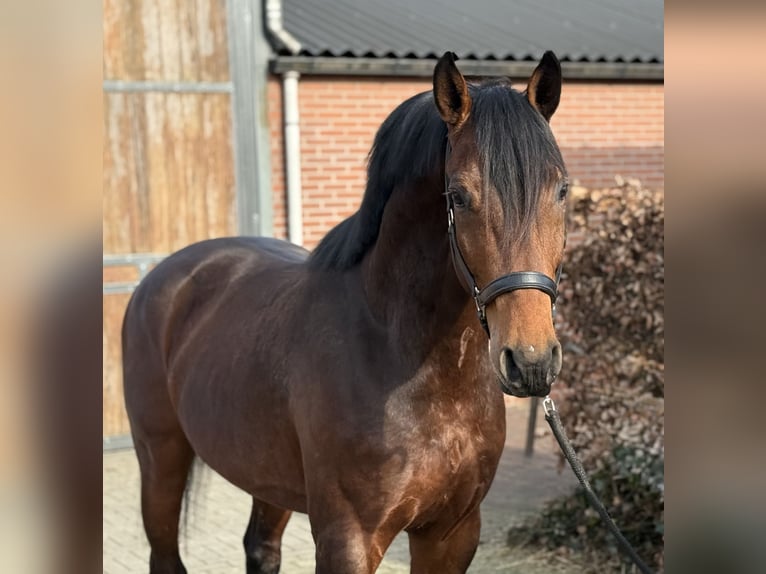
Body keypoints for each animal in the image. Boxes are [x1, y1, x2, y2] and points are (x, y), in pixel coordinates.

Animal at [122, 51, 568, 574]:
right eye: (458, 196)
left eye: (562, 190)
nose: (531, 361)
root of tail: (162, 276)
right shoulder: (349, 539)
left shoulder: (452, 533)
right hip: (160, 459)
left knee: (260, 547)